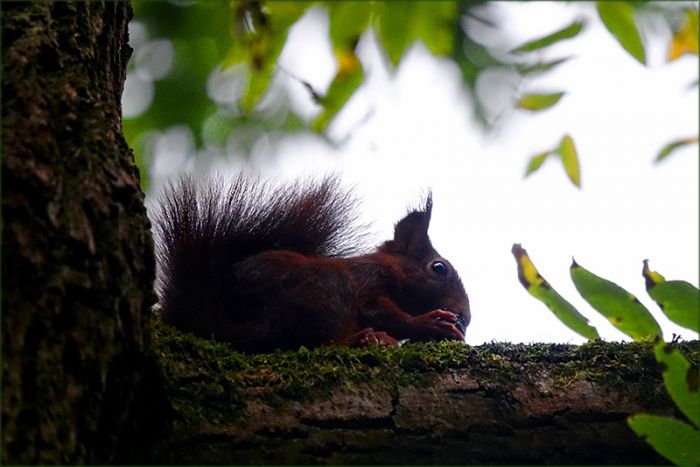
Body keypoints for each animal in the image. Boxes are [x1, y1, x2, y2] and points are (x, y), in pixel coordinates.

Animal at [152, 174, 470, 353]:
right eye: (438, 268)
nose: (465, 318)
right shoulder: (368, 279)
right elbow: (380, 312)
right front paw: (430, 323)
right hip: (327, 288)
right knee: (304, 340)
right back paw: (363, 339)